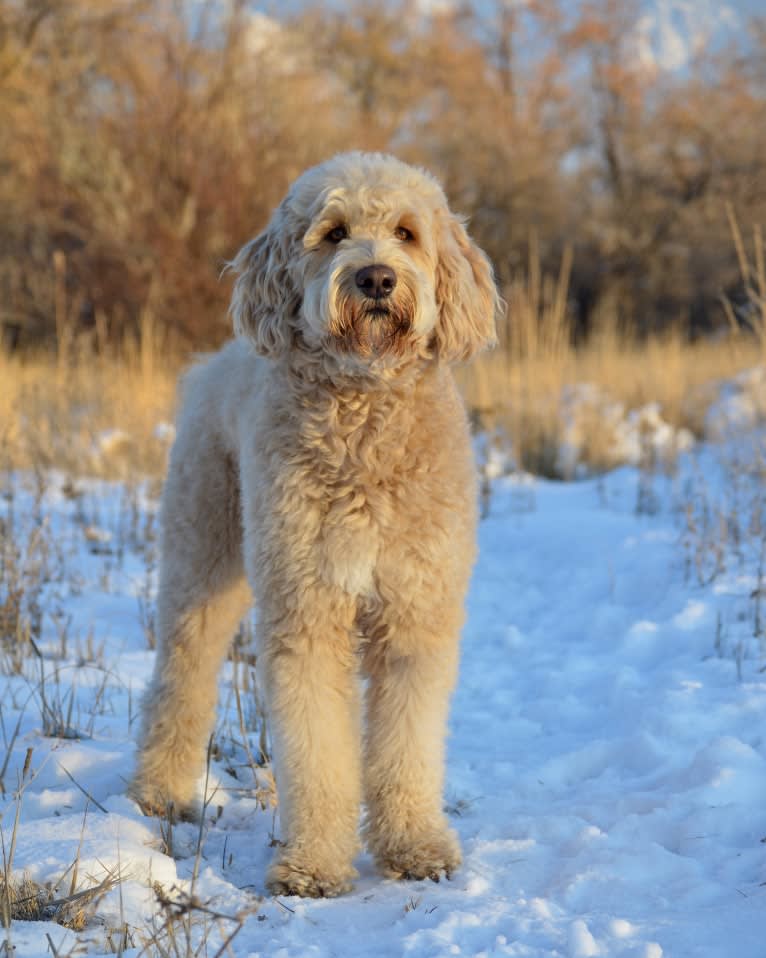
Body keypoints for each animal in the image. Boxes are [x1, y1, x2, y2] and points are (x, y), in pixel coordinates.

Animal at [130, 152, 504, 900]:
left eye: (406, 232)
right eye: (333, 234)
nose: (377, 278)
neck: (364, 415)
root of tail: (214, 360)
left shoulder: (414, 613)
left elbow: (407, 743)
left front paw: (416, 848)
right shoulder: (307, 610)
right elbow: (316, 750)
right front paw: (313, 867)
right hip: (201, 555)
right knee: (181, 675)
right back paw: (162, 791)